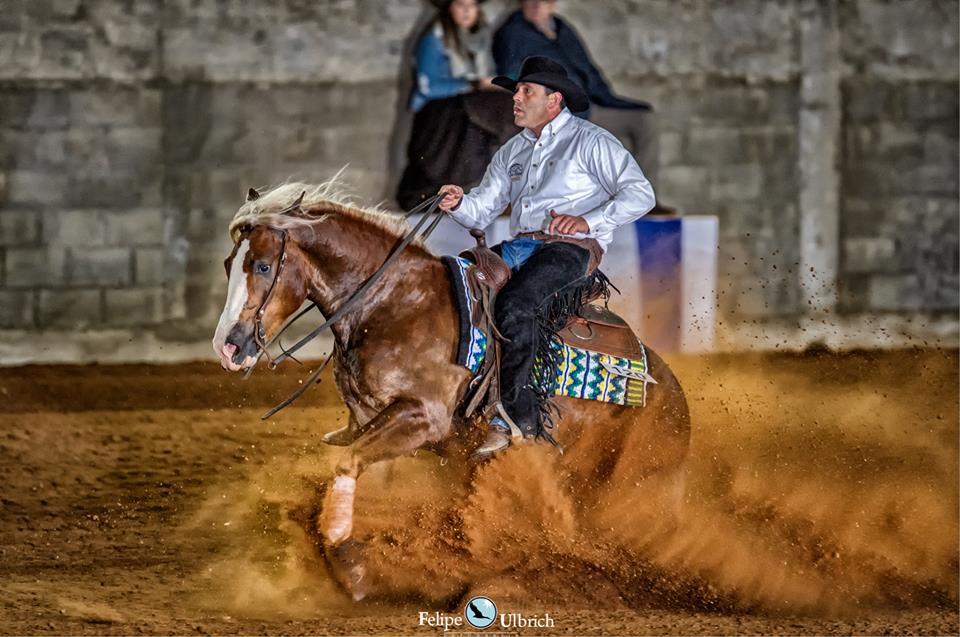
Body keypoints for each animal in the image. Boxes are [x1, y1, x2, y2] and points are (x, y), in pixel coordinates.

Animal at [212, 181, 688, 600]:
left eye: (263, 266)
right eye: (228, 265)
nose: (227, 346)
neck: (394, 304)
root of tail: (674, 397)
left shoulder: (424, 417)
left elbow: (347, 462)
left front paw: (341, 548)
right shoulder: (370, 417)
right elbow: (362, 471)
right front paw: (352, 565)